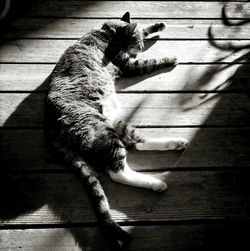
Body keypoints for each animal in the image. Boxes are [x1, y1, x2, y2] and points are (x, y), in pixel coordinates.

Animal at [46, 11, 188, 247]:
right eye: (137, 44)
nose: (140, 47)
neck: (107, 31)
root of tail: (50, 126)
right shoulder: (129, 64)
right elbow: (149, 61)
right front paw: (169, 57)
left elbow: (142, 26)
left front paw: (157, 26)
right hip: (100, 128)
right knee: (117, 171)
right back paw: (156, 183)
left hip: (113, 121)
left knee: (137, 143)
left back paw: (175, 143)